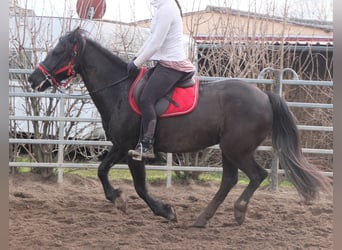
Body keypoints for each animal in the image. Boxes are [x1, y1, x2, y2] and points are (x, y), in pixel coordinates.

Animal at [29, 28, 332, 228]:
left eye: (58, 51)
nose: (33, 79)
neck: (119, 90)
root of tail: (265, 95)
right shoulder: (125, 149)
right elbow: (120, 178)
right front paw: (146, 206)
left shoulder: (127, 146)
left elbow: (119, 178)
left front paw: (138, 204)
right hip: (228, 149)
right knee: (230, 179)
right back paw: (202, 218)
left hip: (237, 148)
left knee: (257, 175)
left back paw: (238, 211)